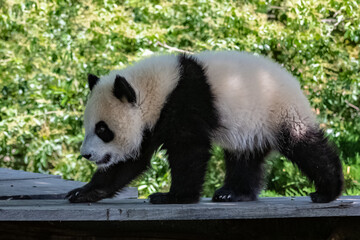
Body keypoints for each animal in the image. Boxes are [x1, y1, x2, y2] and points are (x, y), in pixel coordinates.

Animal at [66, 51, 344, 204]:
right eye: (89, 127)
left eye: (103, 130)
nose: (86, 155)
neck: (155, 90)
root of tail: (294, 82)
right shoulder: (152, 122)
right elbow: (130, 161)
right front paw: (83, 192)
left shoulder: (185, 102)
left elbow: (190, 150)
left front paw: (173, 197)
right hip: (251, 127)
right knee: (245, 156)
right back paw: (233, 193)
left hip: (278, 110)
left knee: (304, 145)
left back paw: (327, 191)